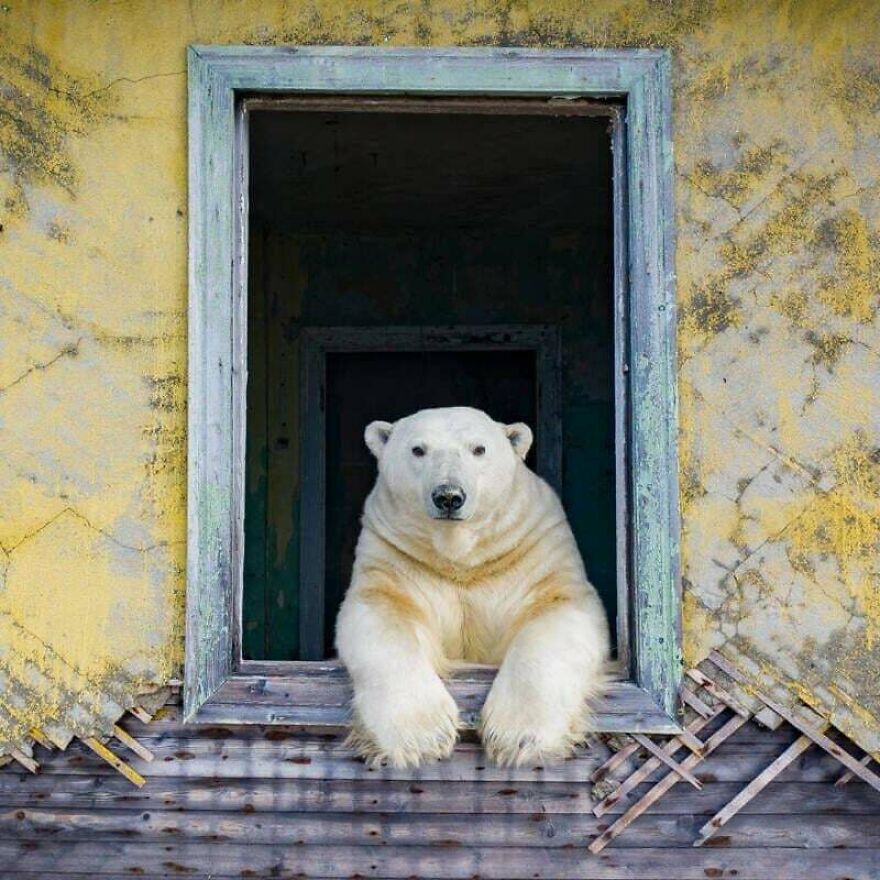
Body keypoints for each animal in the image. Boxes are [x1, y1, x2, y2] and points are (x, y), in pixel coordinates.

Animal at [335, 406, 610, 768]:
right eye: (418, 449)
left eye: (479, 449)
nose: (449, 496)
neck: (461, 558)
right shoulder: (395, 556)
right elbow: (381, 615)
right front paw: (422, 737)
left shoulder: (534, 549)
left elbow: (558, 611)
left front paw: (518, 737)